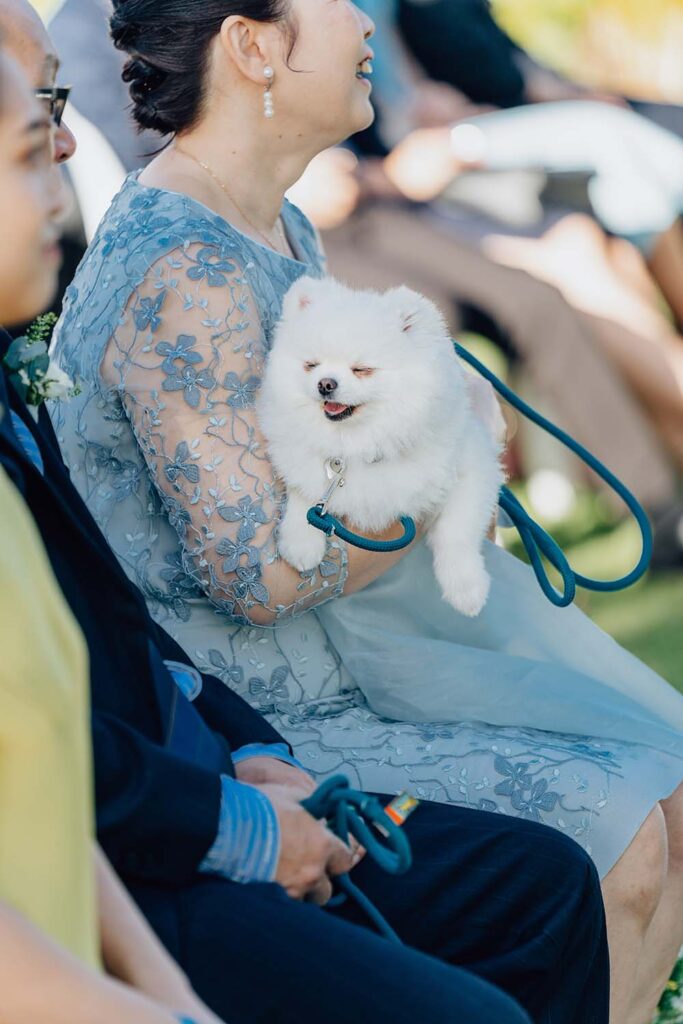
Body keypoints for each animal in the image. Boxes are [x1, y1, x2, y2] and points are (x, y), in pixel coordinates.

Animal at [257, 276, 504, 616]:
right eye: (311, 365)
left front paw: (466, 589)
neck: (358, 441)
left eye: (362, 369)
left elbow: (457, 530)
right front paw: (301, 542)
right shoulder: (302, 460)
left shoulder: (472, 464)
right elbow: (306, 493)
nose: (325, 383)